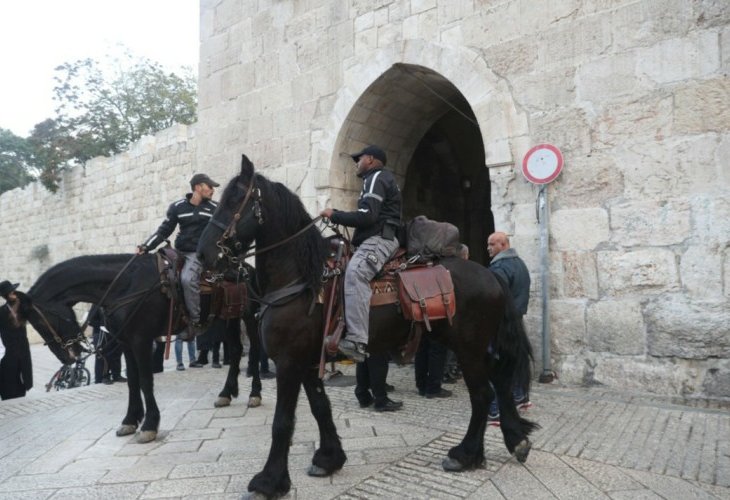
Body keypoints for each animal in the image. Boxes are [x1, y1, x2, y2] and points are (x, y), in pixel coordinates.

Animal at [14, 254, 262, 442]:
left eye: (39, 323)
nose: (68, 356)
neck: (125, 287)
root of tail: (242, 265)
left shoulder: (141, 341)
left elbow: (145, 380)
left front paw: (150, 423)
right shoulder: (126, 343)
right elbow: (132, 381)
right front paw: (130, 420)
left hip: (248, 316)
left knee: (255, 350)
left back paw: (255, 393)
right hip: (227, 318)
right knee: (237, 350)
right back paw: (226, 392)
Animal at [196, 154, 536, 498]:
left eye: (235, 200)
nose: (204, 253)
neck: (302, 279)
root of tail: (490, 274)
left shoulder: (289, 362)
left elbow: (282, 422)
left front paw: (268, 481)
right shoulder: (308, 362)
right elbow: (320, 407)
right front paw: (329, 458)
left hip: (468, 348)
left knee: (482, 394)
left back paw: (465, 454)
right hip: (474, 347)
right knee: (500, 382)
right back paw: (513, 440)